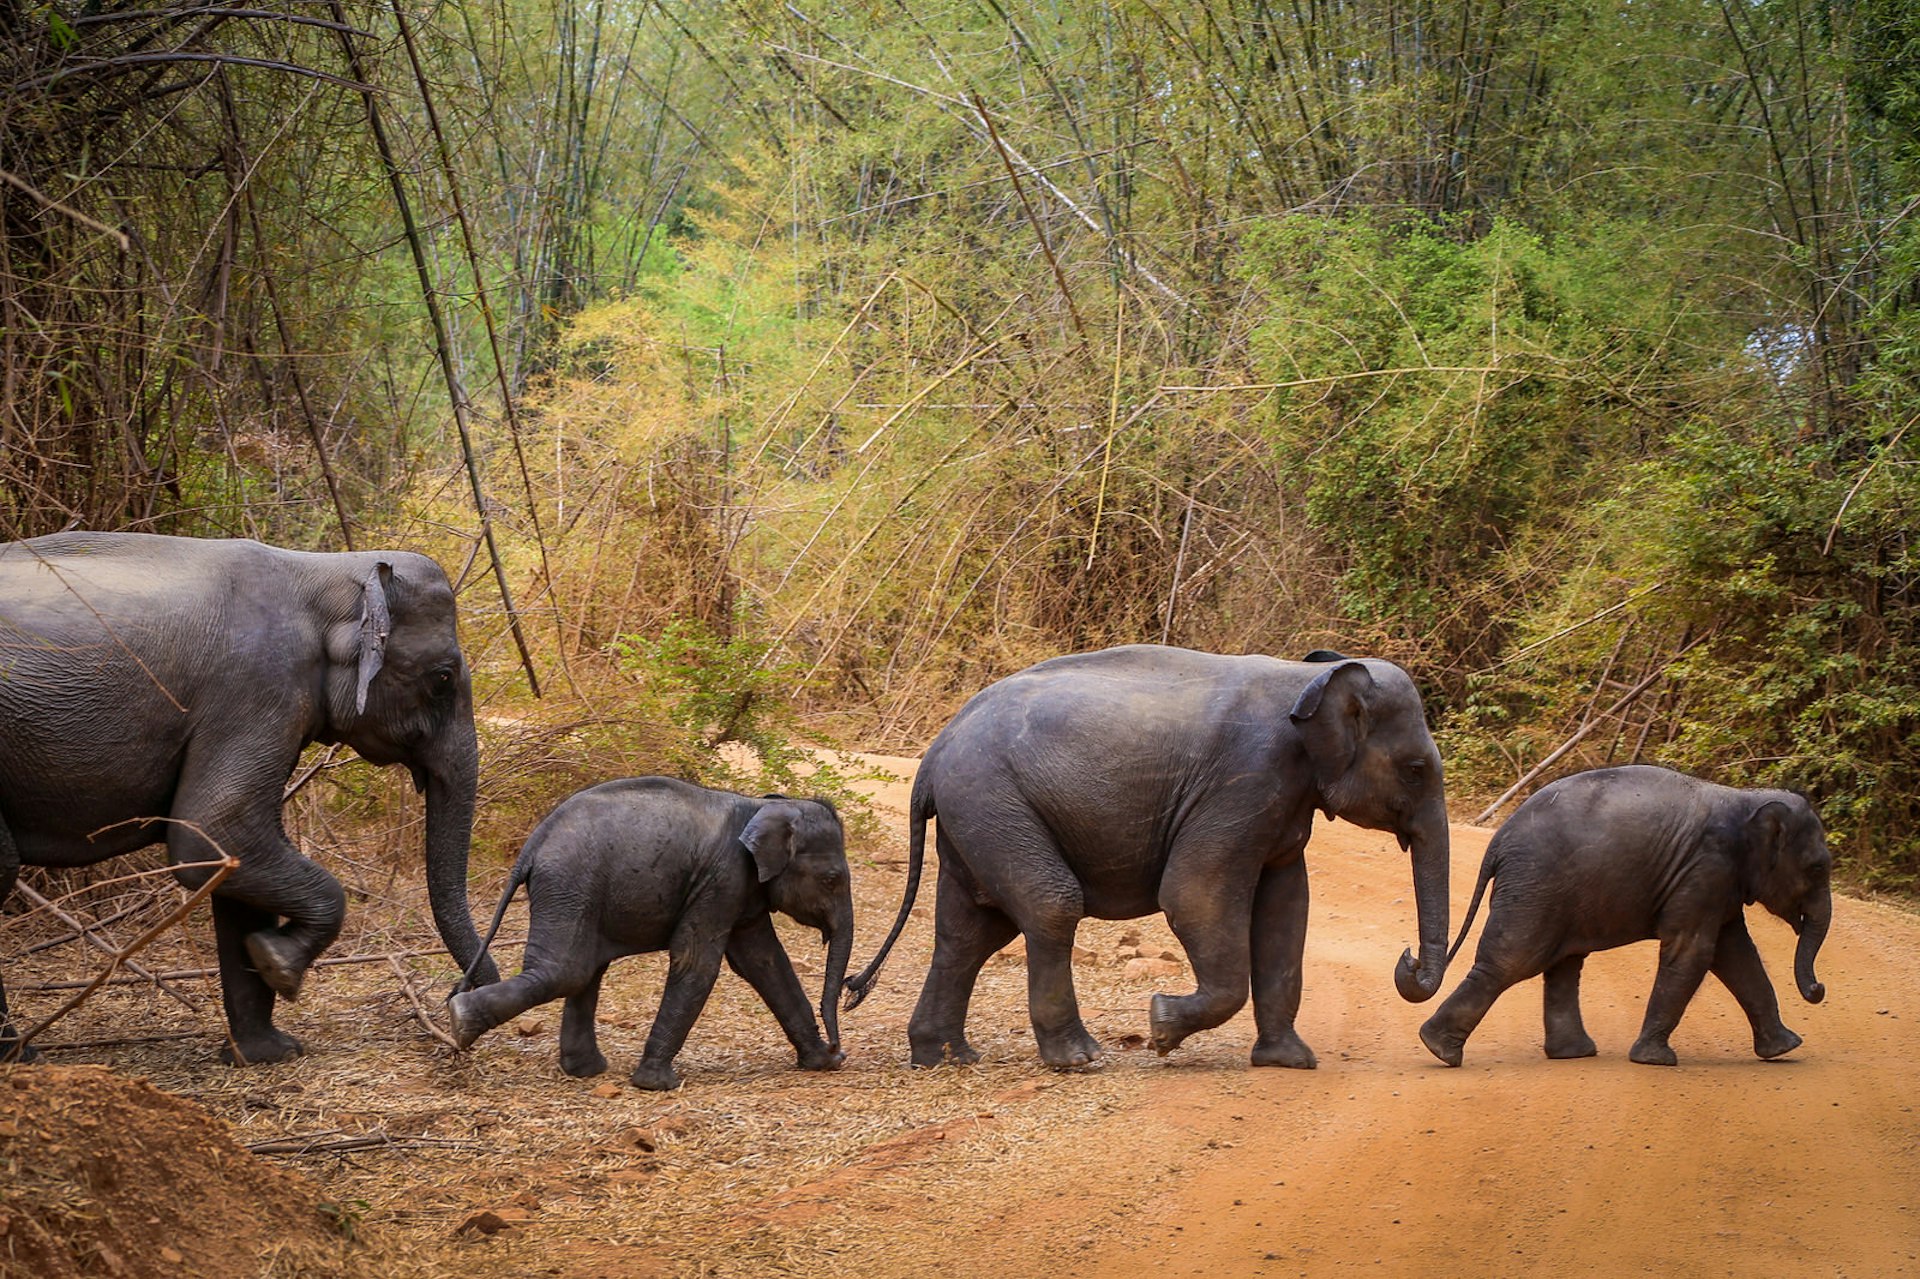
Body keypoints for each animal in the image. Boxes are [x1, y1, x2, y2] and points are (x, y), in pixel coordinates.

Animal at [1, 522, 495, 1060]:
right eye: (443, 678)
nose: (457, 1007)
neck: (325, 571)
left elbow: (231, 861)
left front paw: (266, 1051)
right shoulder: (257, 690)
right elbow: (214, 832)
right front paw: (278, 961)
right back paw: (18, 1054)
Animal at [451, 775, 856, 1083]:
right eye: (832, 879)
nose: (839, 1049)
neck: (760, 804)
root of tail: (532, 847)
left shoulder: (743, 888)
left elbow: (764, 962)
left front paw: (821, 1063)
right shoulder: (722, 879)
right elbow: (697, 963)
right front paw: (657, 1084)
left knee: (585, 971)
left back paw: (585, 1071)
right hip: (569, 884)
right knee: (566, 971)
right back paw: (460, 1020)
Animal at [848, 637, 1443, 1067]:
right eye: (1416, 770)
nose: (1408, 960)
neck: (1306, 681)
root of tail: (932, 756)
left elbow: (1286, 912)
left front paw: (1290, 1062)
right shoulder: (1243, 783)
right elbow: (1193, 896)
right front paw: (1160, 1028)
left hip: (972, 818)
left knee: (970, 932)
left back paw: (946, 1058)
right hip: (991, 802)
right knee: (1049, 906)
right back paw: (1078, 1060)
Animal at [1420, 768, 1835, 1067]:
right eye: (1817, 868)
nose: (1818, 989)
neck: (1745, 799)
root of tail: (1498, 841)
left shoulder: (1721, 881)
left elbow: (1736, 954)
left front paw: (1784, 1049)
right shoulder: (1706, 868)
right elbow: (1695, 952)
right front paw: (1655, 1061)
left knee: (1563, 964)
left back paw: (1573, 1054)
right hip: (1535, 884)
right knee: (1512, 961)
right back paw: (1439, 1049)